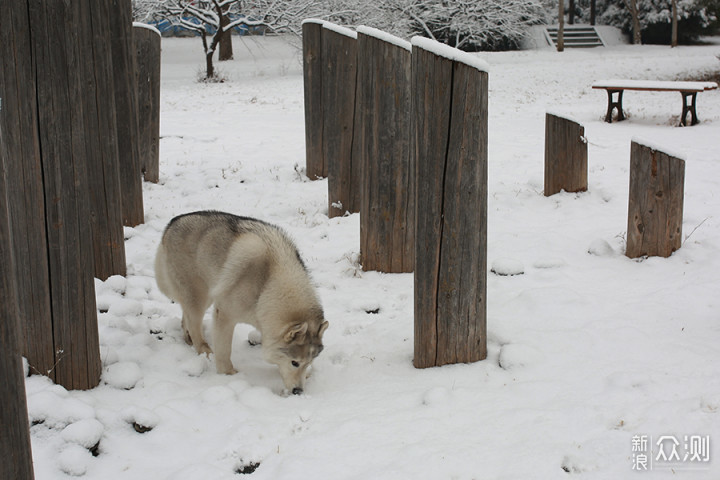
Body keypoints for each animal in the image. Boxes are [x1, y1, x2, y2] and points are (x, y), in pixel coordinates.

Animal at [158, 212, 330, 396]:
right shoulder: (225, 315)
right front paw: (228, 374)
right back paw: (204, 349)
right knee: (194, 323)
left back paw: (188, 339)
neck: (267, 285)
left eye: (307, 363)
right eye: (294, 362)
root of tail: (173, 222)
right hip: (199, 297)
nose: (298, 391)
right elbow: (224, 351)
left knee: (186, 318)